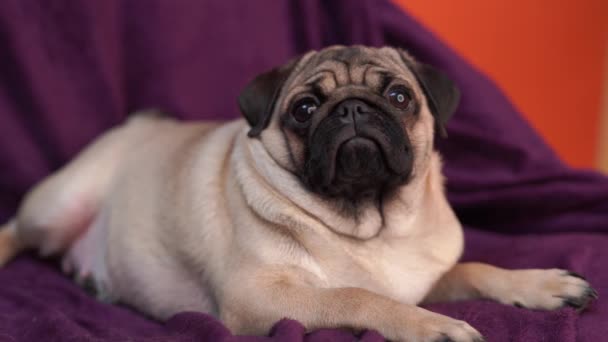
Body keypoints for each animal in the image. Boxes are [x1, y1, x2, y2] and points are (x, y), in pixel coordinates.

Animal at [0, 46, 600, 342]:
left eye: (399, 96)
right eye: (305, 109)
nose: (353, 107)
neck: (370, 226)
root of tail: (136, 125)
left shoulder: (426, 277)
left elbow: (476, 269)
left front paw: (541, 285)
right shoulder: (261, 299)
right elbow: (358, 298)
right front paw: (433, 326)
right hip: (57, 205)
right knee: (16, 230)